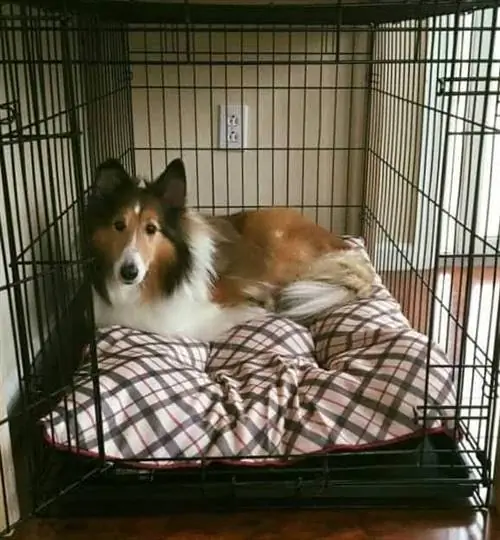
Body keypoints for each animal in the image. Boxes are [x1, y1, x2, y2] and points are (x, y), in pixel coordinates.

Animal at [83, 157, 376, 342]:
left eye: (151, 228)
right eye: (118, 225)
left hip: (275, 246)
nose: (128, 272)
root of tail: (337, 240)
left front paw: (257, 307)